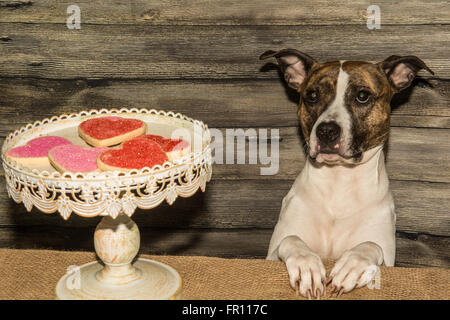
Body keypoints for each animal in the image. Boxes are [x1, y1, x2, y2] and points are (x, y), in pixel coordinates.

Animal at [260, 48, 432, 298]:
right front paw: (306, 265)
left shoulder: (387, 257)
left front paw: (353, 265)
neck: (339, 180)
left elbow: (371, 245)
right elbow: (290, 239)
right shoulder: (270, 255)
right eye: (312, 96)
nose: (326, 131)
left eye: (362, 96)